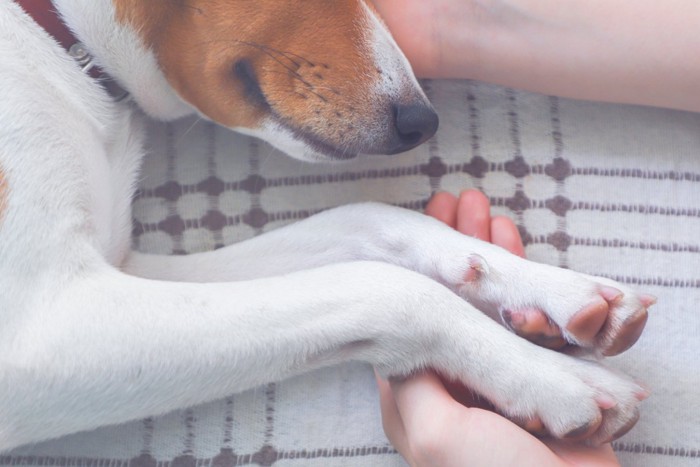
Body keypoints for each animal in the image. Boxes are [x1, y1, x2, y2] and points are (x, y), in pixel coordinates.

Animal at [1, 0, 656, 454]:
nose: (422, 121)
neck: (58, 42)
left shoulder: (118, 266)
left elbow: (366, 219)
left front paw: (552, 291)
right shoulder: (42, 327)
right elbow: (384, 288)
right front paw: (555, 379)